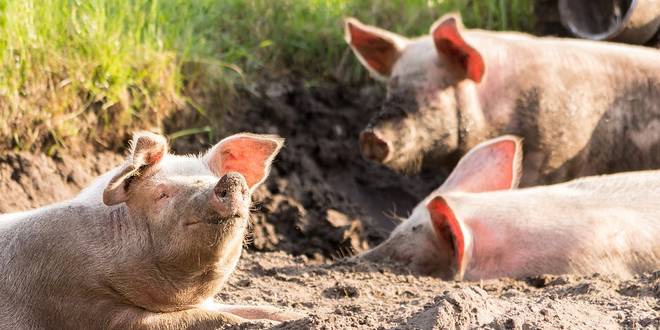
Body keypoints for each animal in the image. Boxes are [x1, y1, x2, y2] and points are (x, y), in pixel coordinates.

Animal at [0, 132, 302, 330]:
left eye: (211, 178)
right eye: (162, 194)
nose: (232, 179)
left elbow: (252, 307)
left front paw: (292, 317)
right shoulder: (83, 305)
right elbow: (203, 319)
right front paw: (260, 323)